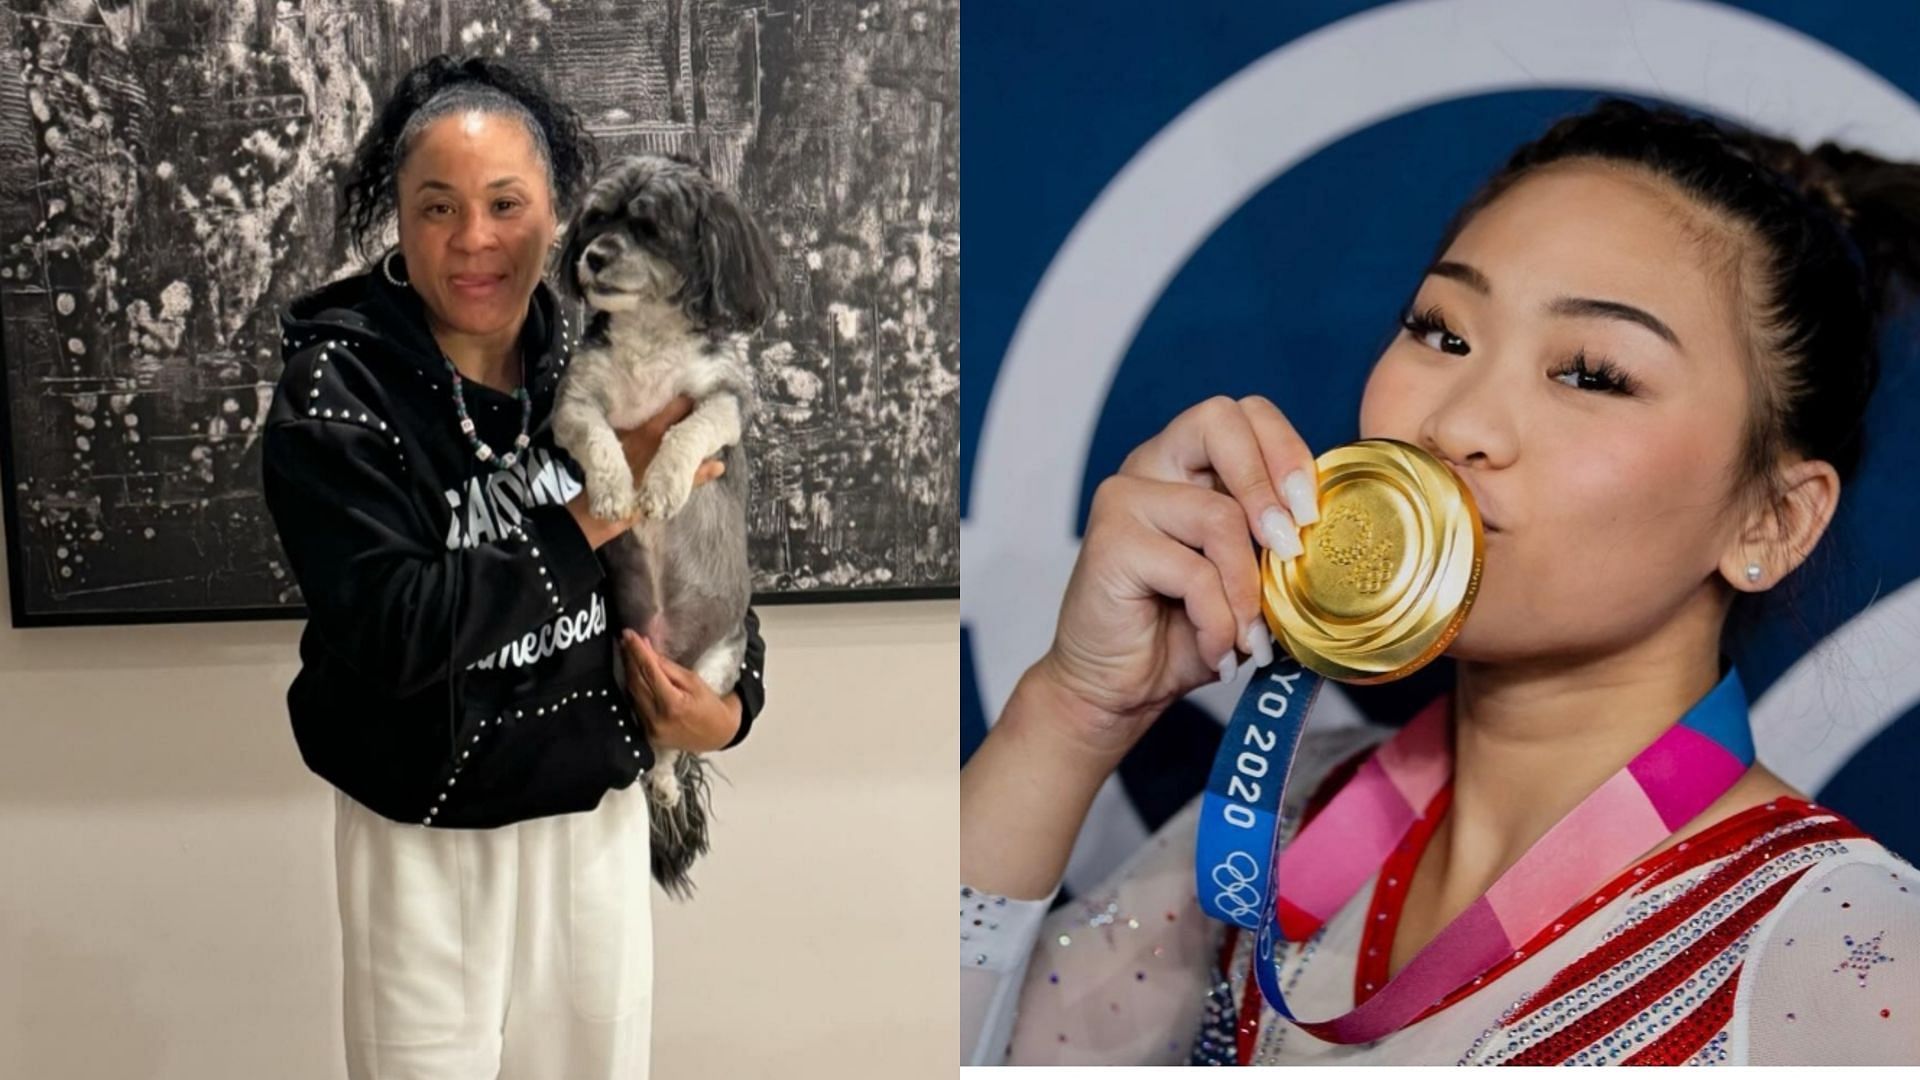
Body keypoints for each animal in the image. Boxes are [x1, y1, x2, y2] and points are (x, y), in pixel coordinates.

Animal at [552, 148, 775, 891]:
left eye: (648, 227)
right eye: (594, 220)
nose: (592, 256)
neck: (648, 341)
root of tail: (666, 650)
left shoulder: (726, 402)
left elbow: (689, 429)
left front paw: (664, 487)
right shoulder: (573, 402)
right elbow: (598, 437)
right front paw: (616, 492)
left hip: (713, 672)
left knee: (671, 749)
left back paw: (669, 785)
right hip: (622, 670)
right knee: (649, 748)